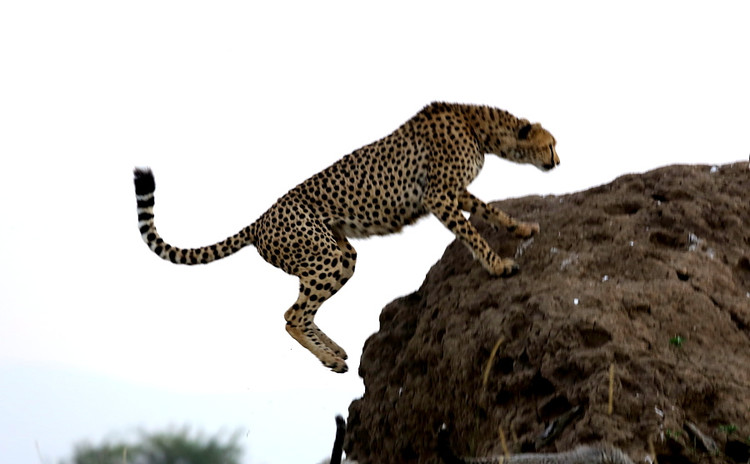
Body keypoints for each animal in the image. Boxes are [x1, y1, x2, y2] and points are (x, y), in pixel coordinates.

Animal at [134, 102, 560, 374]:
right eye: (550, 144)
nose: (558, 161)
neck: (479, 126)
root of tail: (259, 221)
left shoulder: (455, 192)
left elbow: (489, 209)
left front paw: (523, 228)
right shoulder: (438, 195)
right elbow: (472, 231)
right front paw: (498, 265)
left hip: (340, 257)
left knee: (300, 311)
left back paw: (335, 350)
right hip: (323, 256)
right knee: (292, 316)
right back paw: (331, 360)